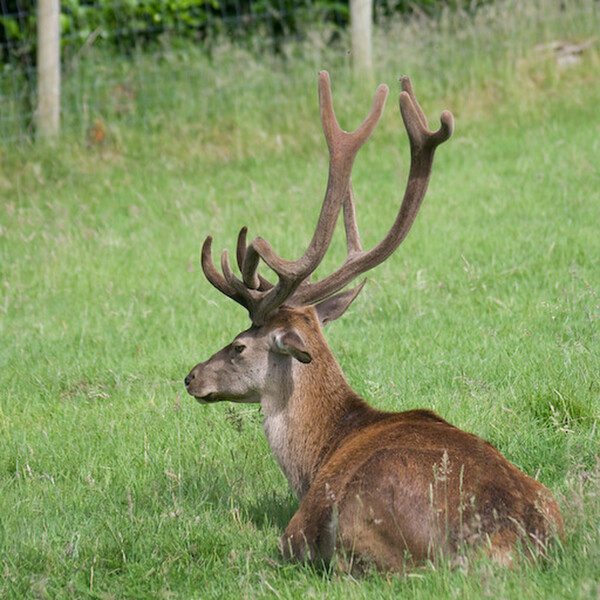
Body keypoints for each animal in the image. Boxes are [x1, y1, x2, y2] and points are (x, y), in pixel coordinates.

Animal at [185, 71, 564, 572]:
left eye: (239, 344)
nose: (191, 377)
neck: (317, 455)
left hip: (368, 517)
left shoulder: (296, 528)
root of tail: (512, 542)